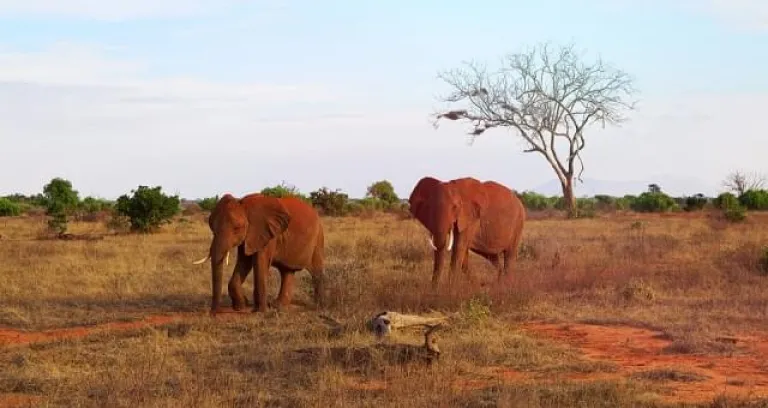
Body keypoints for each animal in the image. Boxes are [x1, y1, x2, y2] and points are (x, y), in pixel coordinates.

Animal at [194, 194, 326, 316]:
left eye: (237, 228)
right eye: (212, 228)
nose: (213, 312)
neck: (244, 205)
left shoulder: (267, 234)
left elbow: (259, 264)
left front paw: (260, 312)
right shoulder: (250, 235)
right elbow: (244, 262)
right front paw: (241, 306)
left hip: (318, 237)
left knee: (316, 271)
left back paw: (318, 306)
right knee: (287, 271)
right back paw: (278, 306)